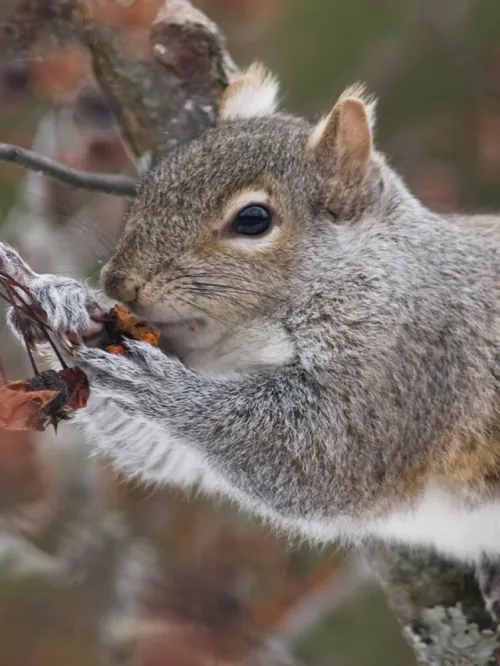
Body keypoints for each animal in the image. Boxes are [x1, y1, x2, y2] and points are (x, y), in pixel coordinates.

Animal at [2, 63, 500, 580]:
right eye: (150, 186)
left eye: (254, 219)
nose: (119, 284)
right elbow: (162, 451)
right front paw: (59, 299)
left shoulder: (407, 354)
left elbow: (330, 453)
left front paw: (158, 384)